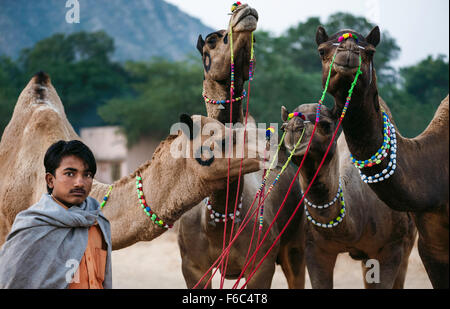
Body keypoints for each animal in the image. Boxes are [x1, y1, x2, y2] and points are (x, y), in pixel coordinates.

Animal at [178, 3, 304, 288]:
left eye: (254, 41)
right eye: (211, 41)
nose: (245, 11)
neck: (216, 225)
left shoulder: (260, 265)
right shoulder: (192, 266)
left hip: (294, 246)